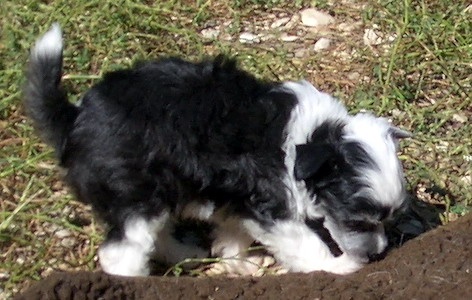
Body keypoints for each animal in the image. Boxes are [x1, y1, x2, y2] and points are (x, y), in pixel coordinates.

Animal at [24, 24, 410, 278]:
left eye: (388, 219)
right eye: (357, 221)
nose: (378, 253)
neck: (309, 139)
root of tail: (74, 118)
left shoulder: (236, 197)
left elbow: (234, 230)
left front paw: (234, 261)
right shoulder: (273, 207)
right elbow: (304, 244)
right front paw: (336, 266)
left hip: (164, 191)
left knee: (156, 237)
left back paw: (187, 253)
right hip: (135, 196)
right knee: (121, 254)